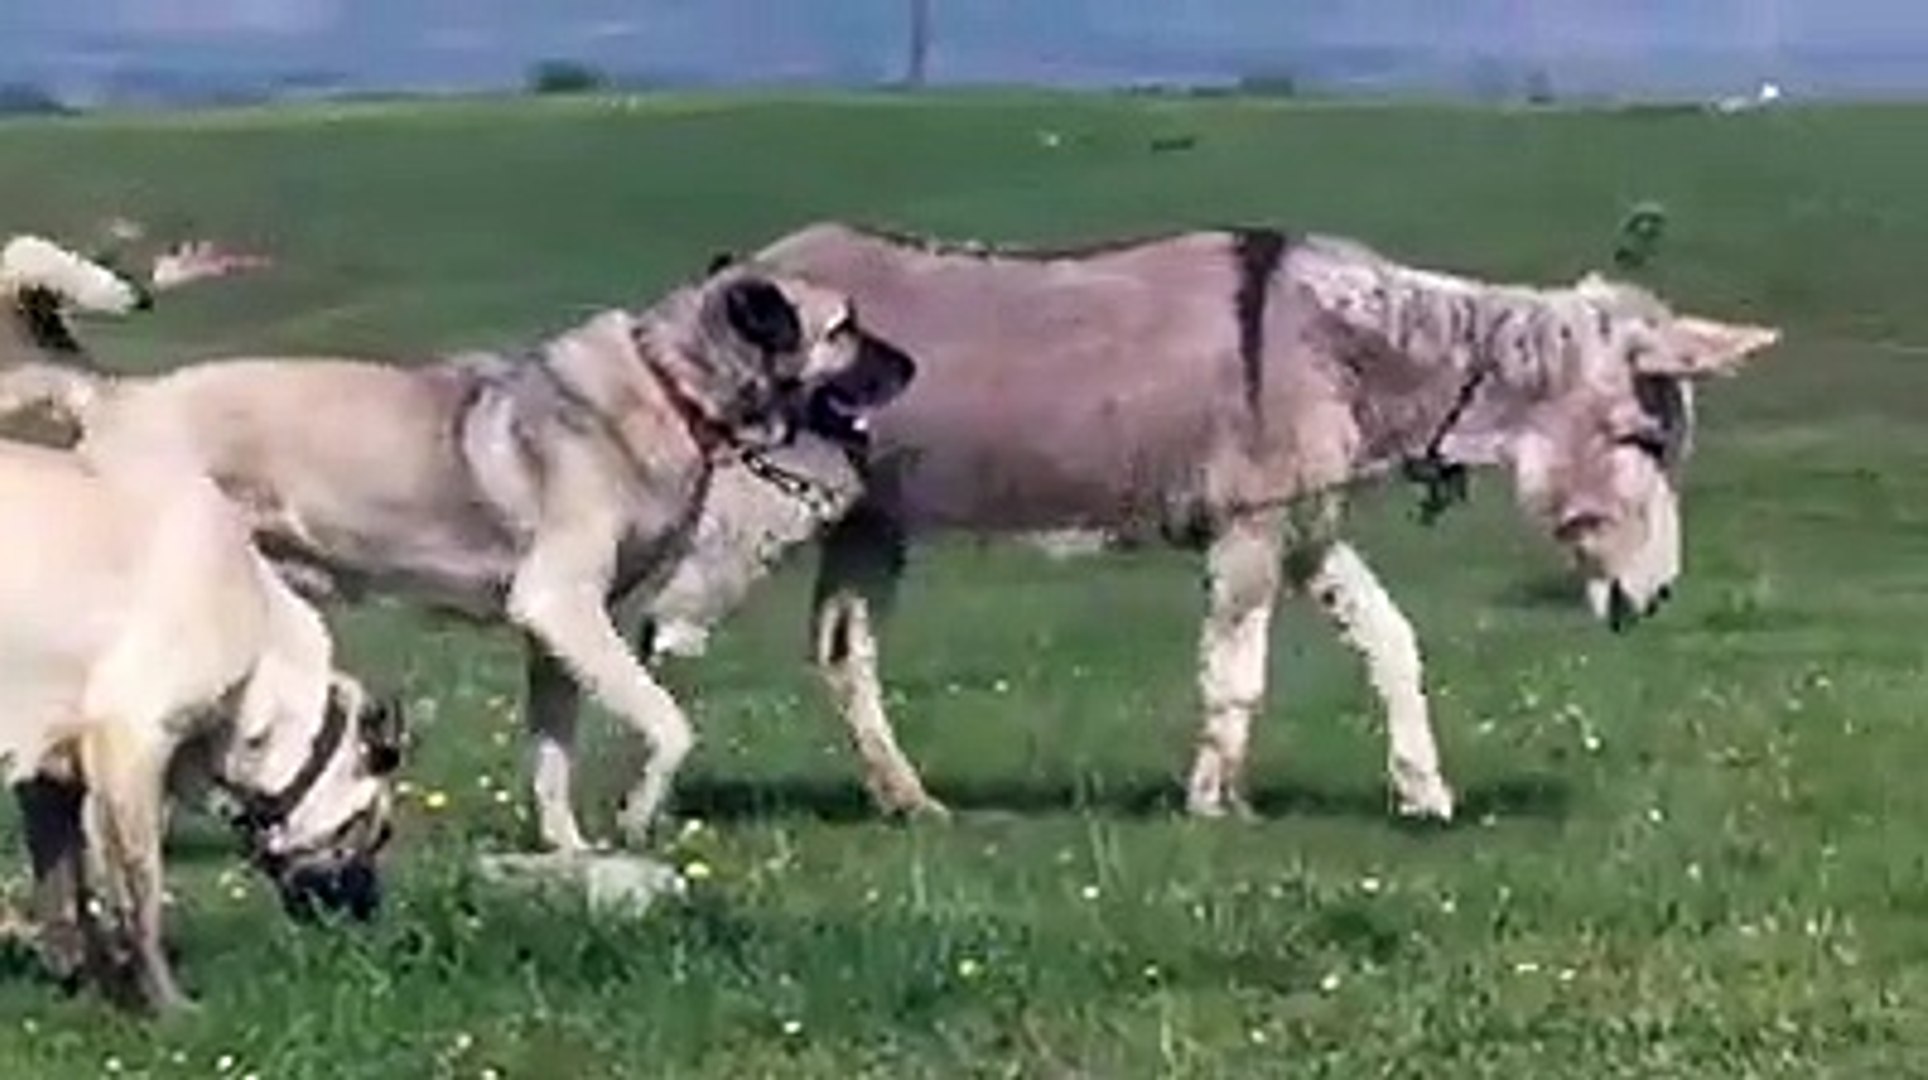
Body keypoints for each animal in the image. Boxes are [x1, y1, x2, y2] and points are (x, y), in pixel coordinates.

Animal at [0, 262, 917, 852]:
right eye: (845, 327)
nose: (912, 364)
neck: (671, 386)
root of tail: (115, 399)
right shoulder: (563, 608)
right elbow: (668, 722)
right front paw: (636, 817)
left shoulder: (555, 639)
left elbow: (550, 760)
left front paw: (571, 855)